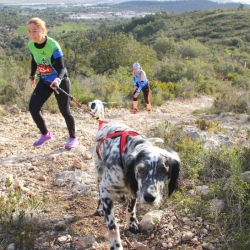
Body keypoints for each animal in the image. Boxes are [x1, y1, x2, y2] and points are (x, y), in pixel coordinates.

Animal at [93, 121, 181, 250]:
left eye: (164, 171)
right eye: (141, 169)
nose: (149, 197)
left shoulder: (134, 191)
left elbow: (131, 208)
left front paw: (132, 223)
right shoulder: (106, 188)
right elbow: (113, 226)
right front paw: (116, 245)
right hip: (99, 172)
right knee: (99, 193)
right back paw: (99, 208)